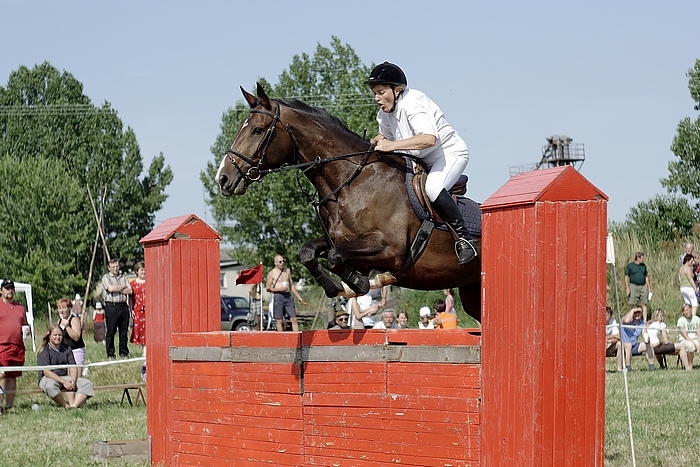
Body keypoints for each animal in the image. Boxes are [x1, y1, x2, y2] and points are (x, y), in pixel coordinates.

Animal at [217, 83, 482, 322]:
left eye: (257, 130)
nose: (223, 178)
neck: (352, 181)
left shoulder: (391, 249)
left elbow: (335, 257)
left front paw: (363, 281)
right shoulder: (339, 239)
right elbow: (309, 253)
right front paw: (337, 286)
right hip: (472, 293)